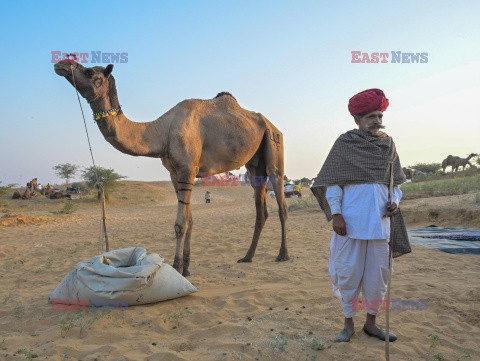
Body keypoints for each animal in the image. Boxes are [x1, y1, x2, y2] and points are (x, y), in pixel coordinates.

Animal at [56, 61, 288, 276]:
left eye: (89, 72)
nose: (62, 64)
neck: (162, 132)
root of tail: (272, 125)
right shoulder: (174, 172)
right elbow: (190, 221)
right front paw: (186, 269)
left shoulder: (187, 168)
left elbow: (180, 224)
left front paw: (177, 268)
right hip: (255, 165)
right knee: (260, 207)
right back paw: (247, 256)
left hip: (273, 143)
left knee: (281, 199)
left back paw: (282, 254)